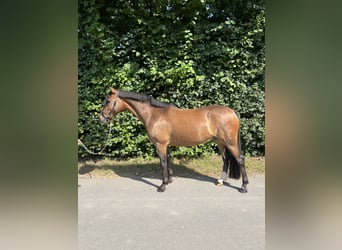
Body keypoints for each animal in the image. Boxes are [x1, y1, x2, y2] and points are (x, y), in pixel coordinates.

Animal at [99, 88, 248, 193]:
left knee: (240, 159)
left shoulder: (160, 145)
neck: (154, 115)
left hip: (230, 142)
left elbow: (163, 163)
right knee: (225, 159)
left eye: (108, 101)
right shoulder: (167, 145)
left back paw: (244, 187)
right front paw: (169, 180)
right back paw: (221, 181)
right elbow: (168, 160)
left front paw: (162, 186)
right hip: (220, 142)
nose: (101, 118)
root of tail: (232, 112)